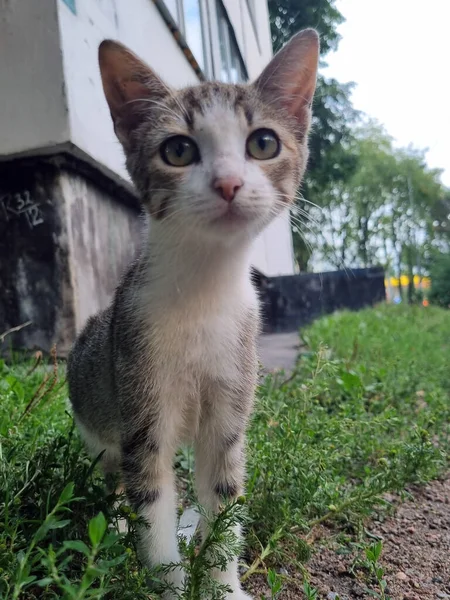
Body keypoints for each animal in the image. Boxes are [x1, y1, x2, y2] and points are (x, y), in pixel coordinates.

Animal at [67, 29, 320, 600]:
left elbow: (223, 496)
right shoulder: (141, 401)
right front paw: (167, 579)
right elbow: (152, 500)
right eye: (178, 150)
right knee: (115, 476)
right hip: (100, 424)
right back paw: (115, 522)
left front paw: (222, 584)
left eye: (263, 143)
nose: (228, 183)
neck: (203, 291)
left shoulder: (231, 399)